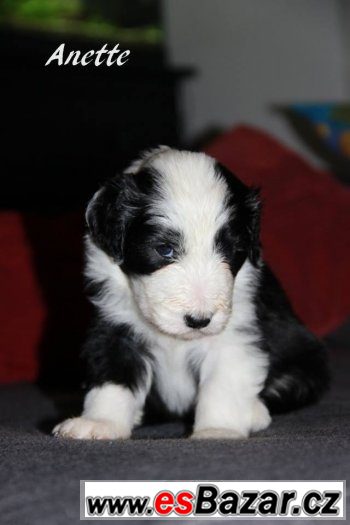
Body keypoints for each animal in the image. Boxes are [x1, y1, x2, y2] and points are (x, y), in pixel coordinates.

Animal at [53, 145, 330, 440]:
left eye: (231, 250)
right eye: (164, 249)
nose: (199, 321)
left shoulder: (235, 336)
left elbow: (223, 384)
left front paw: (217, 430)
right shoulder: (116, 326)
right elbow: (113, 373)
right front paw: (99, 423)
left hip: (307, 358)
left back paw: (255, 413)